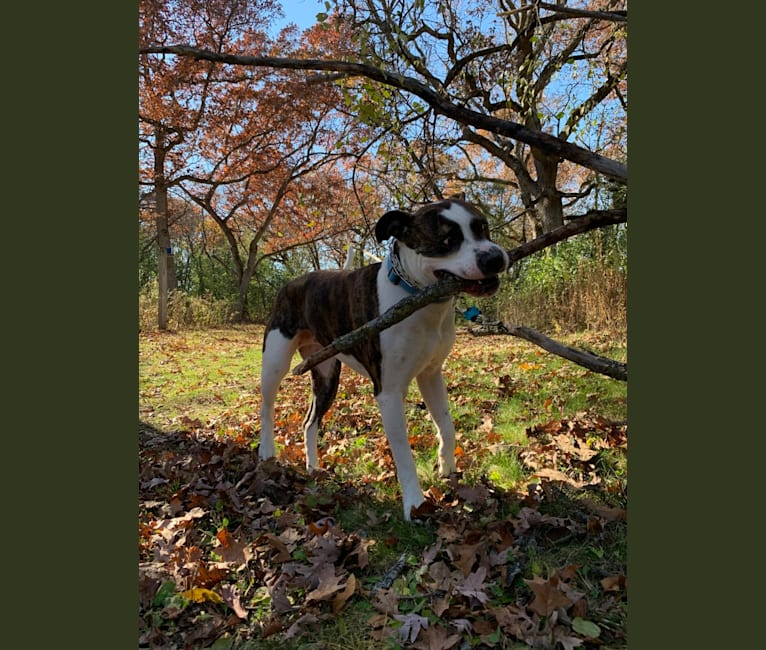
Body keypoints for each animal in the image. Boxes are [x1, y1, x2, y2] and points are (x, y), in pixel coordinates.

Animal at [258, 195, 510, 520]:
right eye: (446, 241)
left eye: (482, 228)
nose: (495, 258)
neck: (418, 299)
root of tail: (292, 283)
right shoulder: (389, 393)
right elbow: (403, 453)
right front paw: (414, 503)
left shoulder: (431, 375)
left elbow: (446, 424)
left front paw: (447, 468)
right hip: (275, 362)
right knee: (267, 405)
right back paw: (267, 451)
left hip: (327, 374)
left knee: (309, 421)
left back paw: (313, 466)